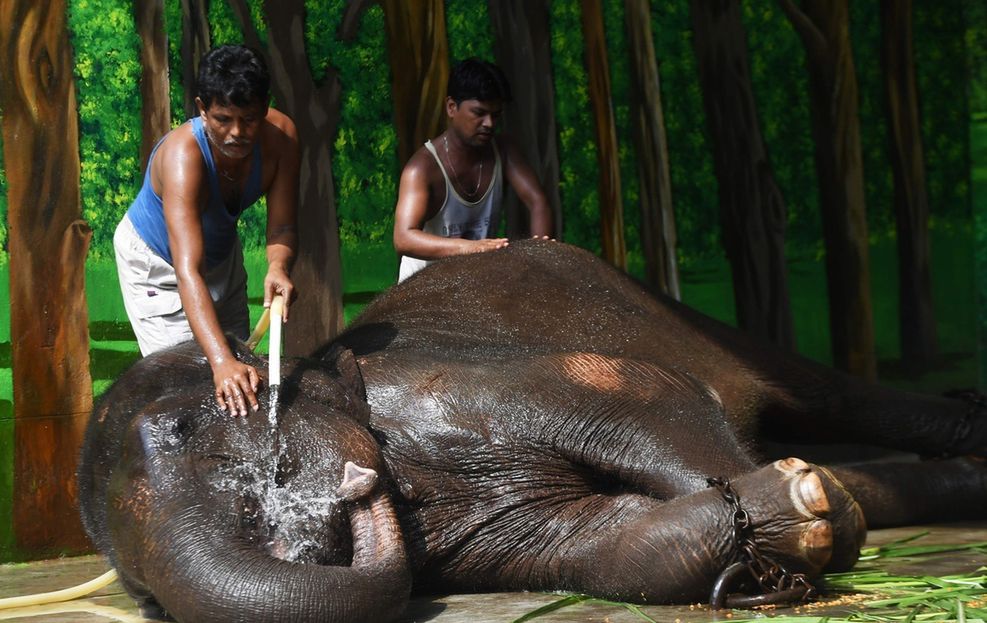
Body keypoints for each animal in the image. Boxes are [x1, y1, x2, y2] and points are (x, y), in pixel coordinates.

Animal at [79, 240, 987, 623]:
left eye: (185, 425)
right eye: (146, 600)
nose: (354, 489)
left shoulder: (464, 380)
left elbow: (640, 394)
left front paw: (804, 501)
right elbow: (603, 548)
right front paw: (801, 509)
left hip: (656, 301)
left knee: (816, 392)